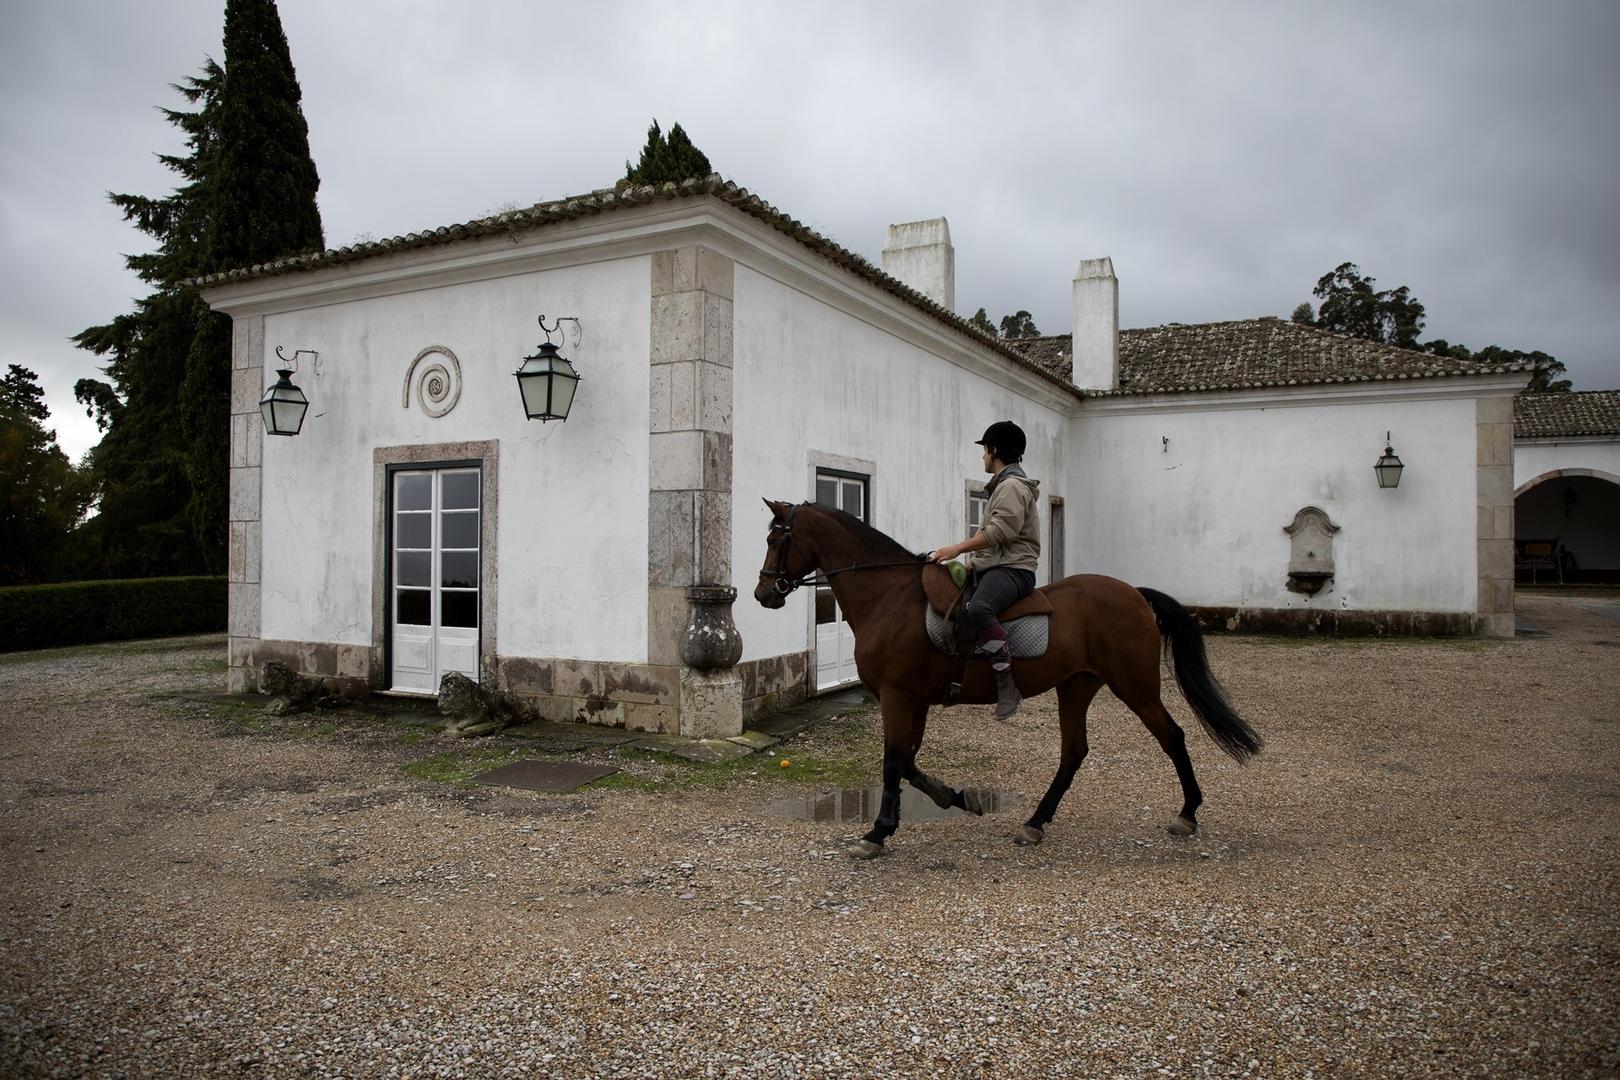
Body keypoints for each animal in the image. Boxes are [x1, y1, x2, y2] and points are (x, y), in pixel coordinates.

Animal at [751, 501, 1257, 861]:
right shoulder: (915, 701)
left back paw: (1187, 814)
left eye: (777, 538)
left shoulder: (897, 697)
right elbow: (909, 762)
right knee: (1074, 752)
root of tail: (1133, 592)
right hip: (1077, 685)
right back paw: (1034, 822)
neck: (890, 596)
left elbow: (894, 761)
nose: (762, 592)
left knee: (1172, 737)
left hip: (1135, 686)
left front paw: (877, 832)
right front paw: (957, 798)